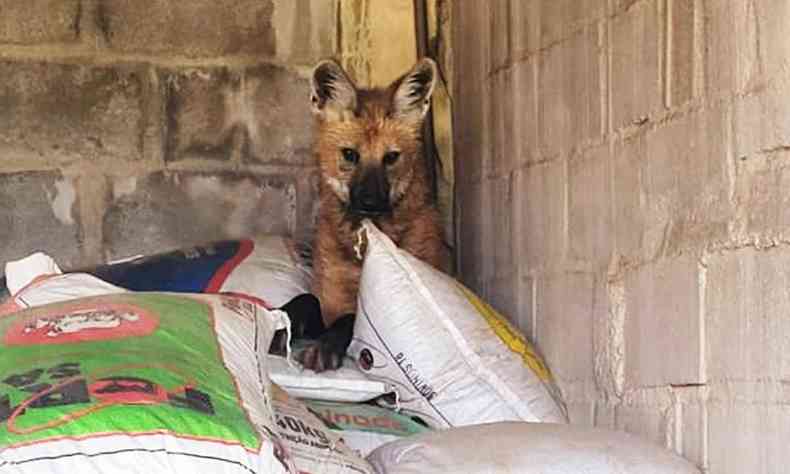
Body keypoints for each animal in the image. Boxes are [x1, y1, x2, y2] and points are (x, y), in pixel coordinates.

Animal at [296, 57, 446, 372]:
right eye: (350, 155)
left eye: (391, 158)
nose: (370, 202)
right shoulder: (330, 298)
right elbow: (308, 300)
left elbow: (350, 320)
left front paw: (324, 348)